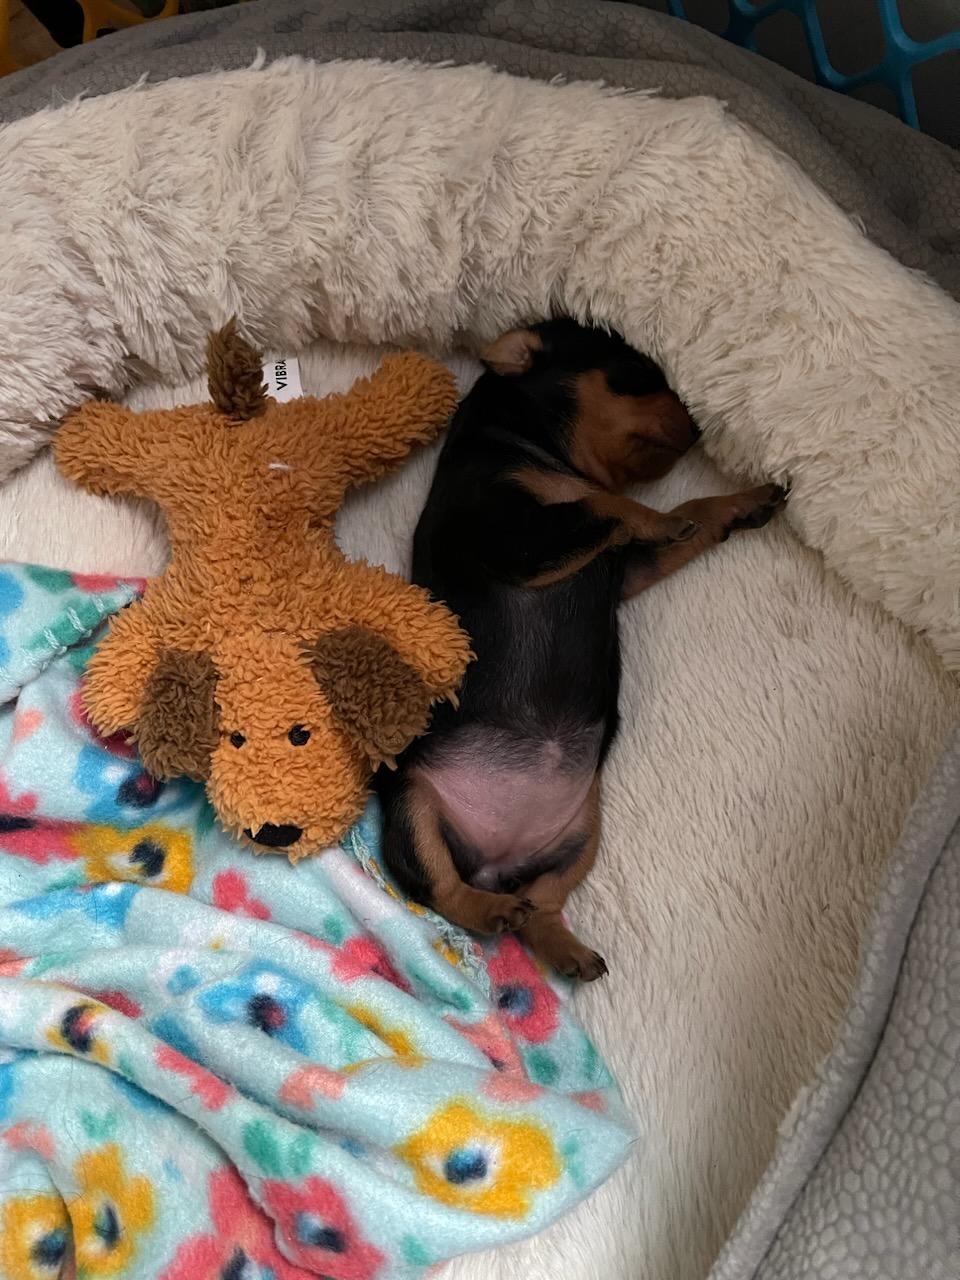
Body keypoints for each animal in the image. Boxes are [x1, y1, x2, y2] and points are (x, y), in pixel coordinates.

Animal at [376, 319, 785, 979]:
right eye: (637, 375)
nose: (699, 431)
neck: (534, 452)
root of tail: (496, 862)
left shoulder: (623, 569)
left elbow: (688, 513)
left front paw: (741, 503)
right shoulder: (511, 537)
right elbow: (605, 504)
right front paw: (655, 515)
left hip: (582, 837)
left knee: (542, 904)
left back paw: (564, 949)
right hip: (414, 806)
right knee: (436, 886)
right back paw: (491, 910)